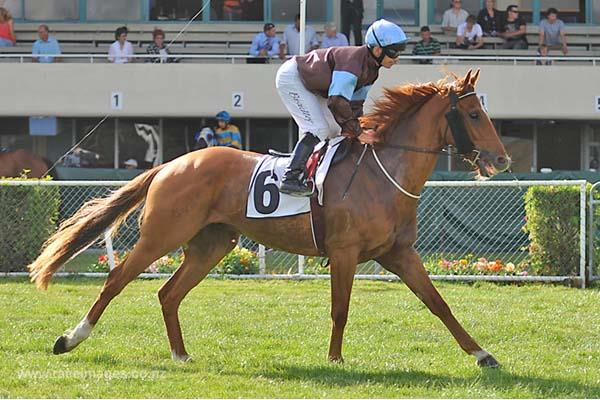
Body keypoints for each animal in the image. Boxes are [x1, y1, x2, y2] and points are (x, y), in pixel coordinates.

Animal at [28, 69, 510, 368]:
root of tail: (171, 164)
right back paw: (70, 338)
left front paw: (482, 355)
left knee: (168, 293)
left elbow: (439, 303)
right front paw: (335, 360)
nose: (502, 159)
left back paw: (181, 355)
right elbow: (340, 309)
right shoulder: (344, 252)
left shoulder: (398, 253)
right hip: (160, 236)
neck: (381, 173)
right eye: (473, 114)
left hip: (211, 244)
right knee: (116, 280)